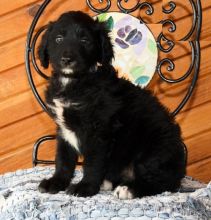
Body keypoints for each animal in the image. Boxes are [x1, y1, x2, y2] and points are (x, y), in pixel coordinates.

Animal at [38, 10, 186, 199]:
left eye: (85, 41)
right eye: (58, 39)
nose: (67, 60)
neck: (74, 82)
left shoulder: (99, 130)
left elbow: (92, 163)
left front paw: (85, 187)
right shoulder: (63, 129)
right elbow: (63, 159)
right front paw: (56, 182)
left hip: (153, 150)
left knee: (161, 183)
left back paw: (128, 189)